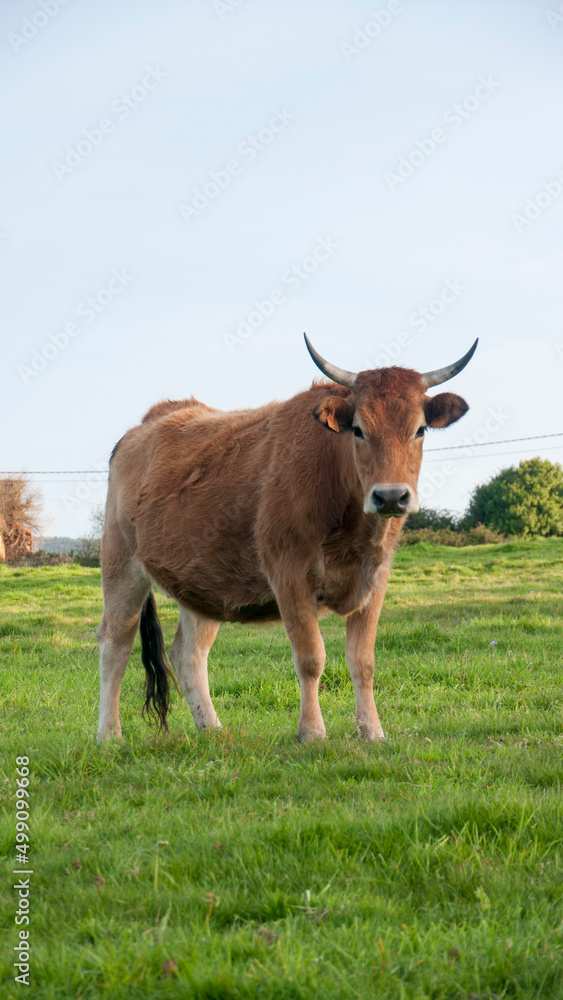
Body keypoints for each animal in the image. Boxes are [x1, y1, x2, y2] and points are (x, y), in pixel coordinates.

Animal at [97, 336, 476, 744]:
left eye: (420, 430)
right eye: (358, 429)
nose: (390, 496)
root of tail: (145, 425)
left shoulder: (376, 578)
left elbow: (363, 661)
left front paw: (372, 731)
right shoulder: (289, 573)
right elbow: (311, 658)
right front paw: (311, 732)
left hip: (200, 579)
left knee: (189, 654)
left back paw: (212, 730)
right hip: (121, 562)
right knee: (115, 642)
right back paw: (110, 736)